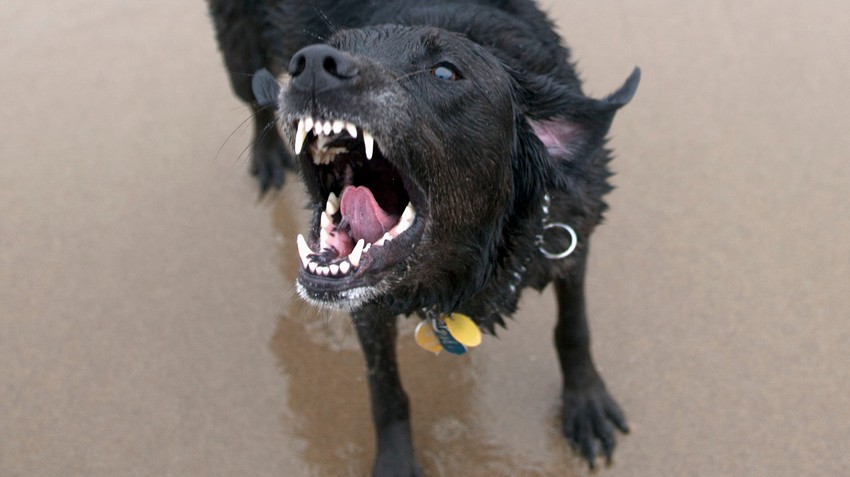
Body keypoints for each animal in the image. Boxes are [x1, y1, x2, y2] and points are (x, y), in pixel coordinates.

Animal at [209, 1, 640, 474]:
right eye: (332, 44)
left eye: (445, 72)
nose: (313, 64)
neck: (464, 270)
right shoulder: (368, 309)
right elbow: (385, 389)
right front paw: (396, 460)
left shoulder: (571, 232)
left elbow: (573, 327)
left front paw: (585, 402)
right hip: (238, 46)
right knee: (253, 97)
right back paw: (267, 156)